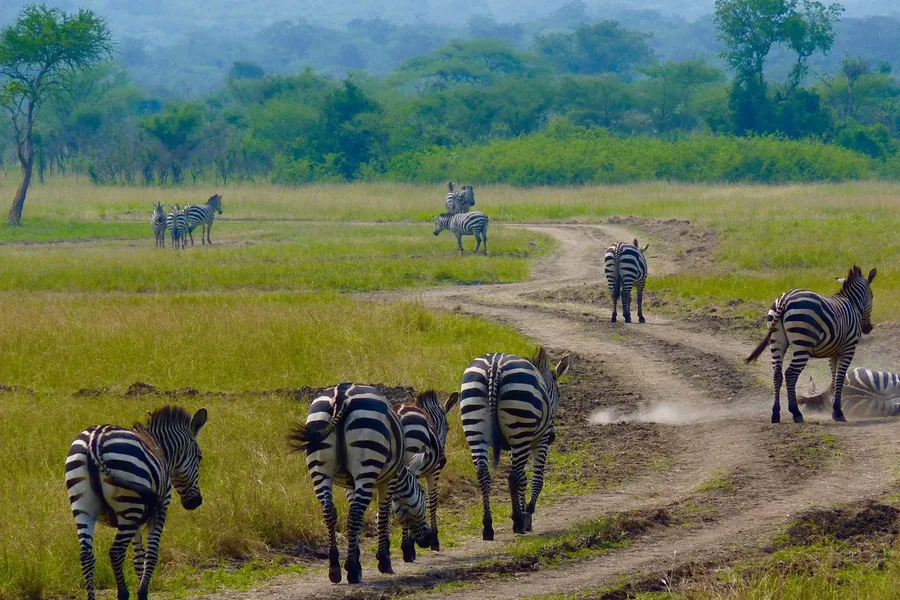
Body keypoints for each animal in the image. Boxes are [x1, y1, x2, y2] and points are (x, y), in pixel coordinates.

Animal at [65, 406, 208, 600]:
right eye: (199, 457)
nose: (196, 502)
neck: (161, 449)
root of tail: (94, 439)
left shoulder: (138, 521)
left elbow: (139, 556)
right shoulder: (160, 509)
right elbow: (152, 553)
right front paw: (142, 592)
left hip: (83, 507)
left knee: (86, 555)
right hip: (129, 506)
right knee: (116, 552)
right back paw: (123, 593)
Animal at [287, 383, 433, 584]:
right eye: (423, 496)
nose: (427, 540)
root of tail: (341, 395)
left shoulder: (350, 485)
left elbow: (355, 518)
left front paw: (353, 558)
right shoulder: (389, 480)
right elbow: (382, 515)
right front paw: (383, 560)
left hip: (320, 466)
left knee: (330, 511)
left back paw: (335, 568)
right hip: (367, 459)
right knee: (356, 512)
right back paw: (354, 572)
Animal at [460, 347, 571, 540]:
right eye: (560, 394)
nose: (553, 437)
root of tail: (494, 366)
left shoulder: (515, 445)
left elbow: (523, 478)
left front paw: (521, 513)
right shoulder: (539, 441)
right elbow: (536, 479)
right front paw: (527, 513)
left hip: (476, 428)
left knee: (483, 474)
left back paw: (488, 526)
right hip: (520, 425)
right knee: (512, 477)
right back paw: (518, 521)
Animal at [746, 265, 877, 423]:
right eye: (872, 296)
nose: (868, 328)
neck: (852, 304)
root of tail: (785, 298)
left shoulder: (834, 352)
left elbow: (834, 380)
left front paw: (834, 410)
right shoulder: (848, 348)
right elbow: (840, 379)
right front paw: (839, 412)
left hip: (776, 340)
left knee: (777, 374)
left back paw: (776, 414)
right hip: (802, 342)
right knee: (790, 374)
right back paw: (796, 413)